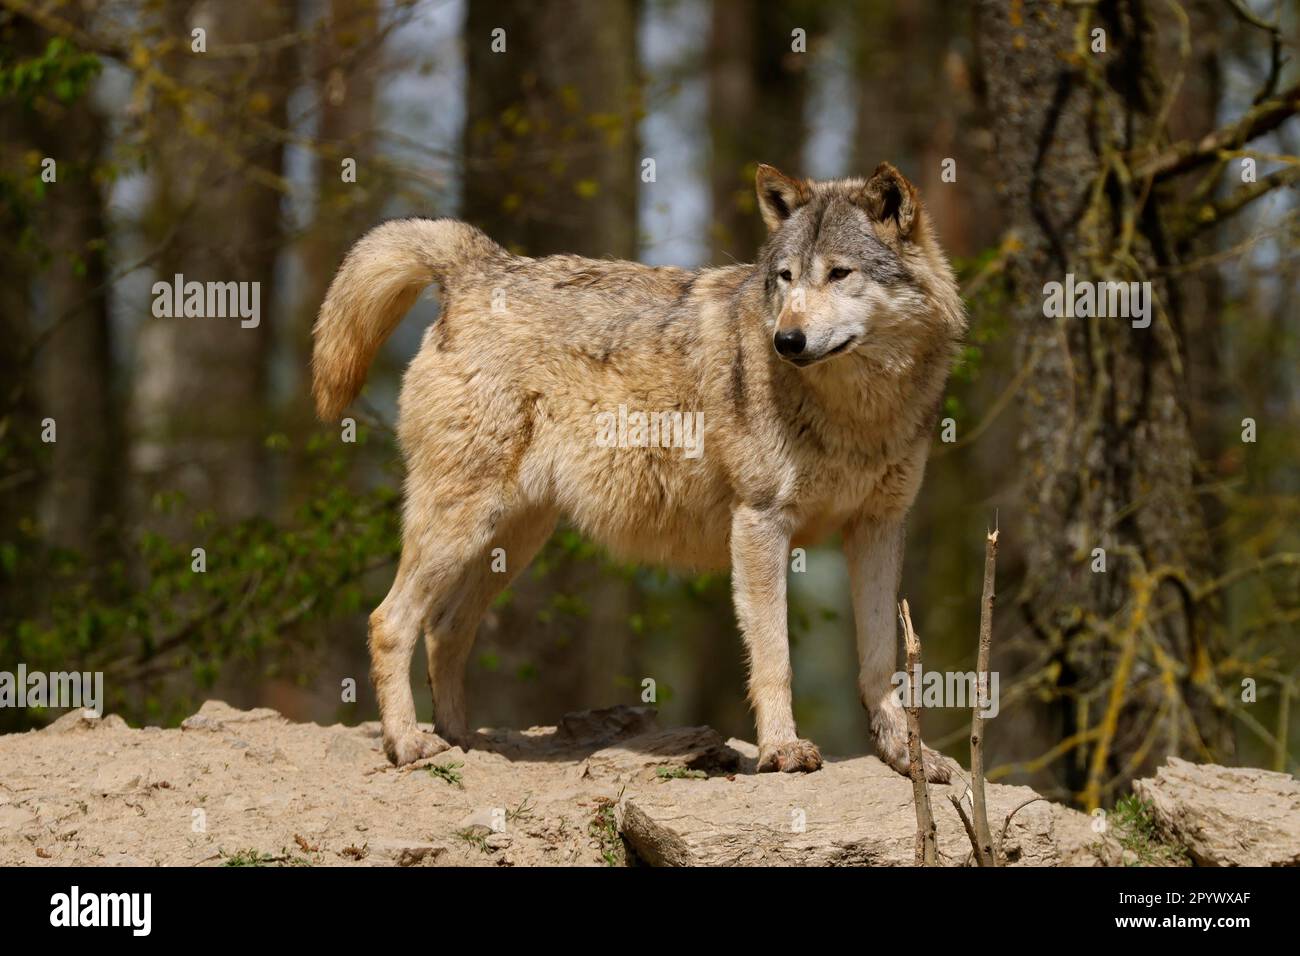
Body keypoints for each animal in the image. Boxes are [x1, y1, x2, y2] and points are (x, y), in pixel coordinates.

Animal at [312, 162, 964, 780]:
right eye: (785, 277)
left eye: (840, 273)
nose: (787, 340)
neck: (857, 413)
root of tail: (480, 264)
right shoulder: (760, 524)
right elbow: (773, 657)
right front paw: (782, 750)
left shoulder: (878, 528)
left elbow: (880, 662)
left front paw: (907, 757)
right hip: (464, 527)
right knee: (389, 621)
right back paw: (409, 744)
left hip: (512, 541)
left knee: (444, 630)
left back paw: (461, 741)